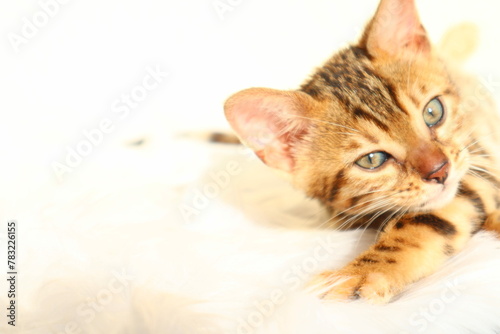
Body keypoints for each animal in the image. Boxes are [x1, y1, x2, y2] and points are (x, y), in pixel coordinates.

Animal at [223, 0, 500, 304]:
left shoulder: (478, 159)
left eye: (433, 112)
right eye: (372, 160)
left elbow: (420, 223)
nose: (440, 170)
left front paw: (360, 274)